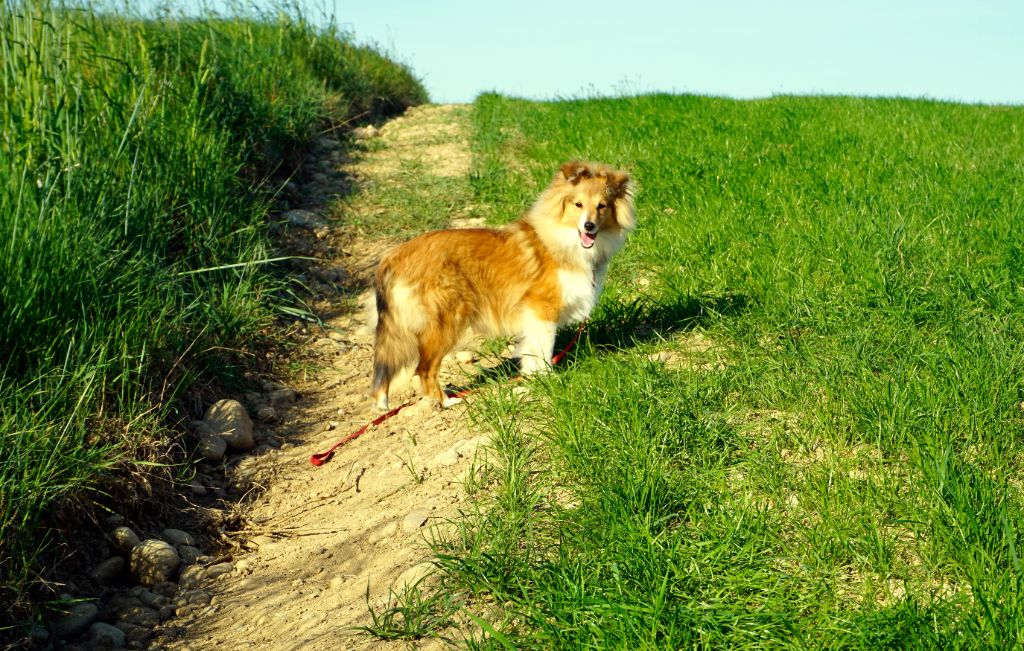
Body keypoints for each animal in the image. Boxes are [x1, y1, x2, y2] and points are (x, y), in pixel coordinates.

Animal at [368, 160, 634, 409]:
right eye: (577, 204)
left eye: (602, 206)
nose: (589, 226)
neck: (563, 240)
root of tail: (393, 257)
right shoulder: (542, 309)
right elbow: (545, 347)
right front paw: (548, 377)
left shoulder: (532, 316)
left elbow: (531, 348)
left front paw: (532, 375)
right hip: (445, 321)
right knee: (424, 369)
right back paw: (446, 401)